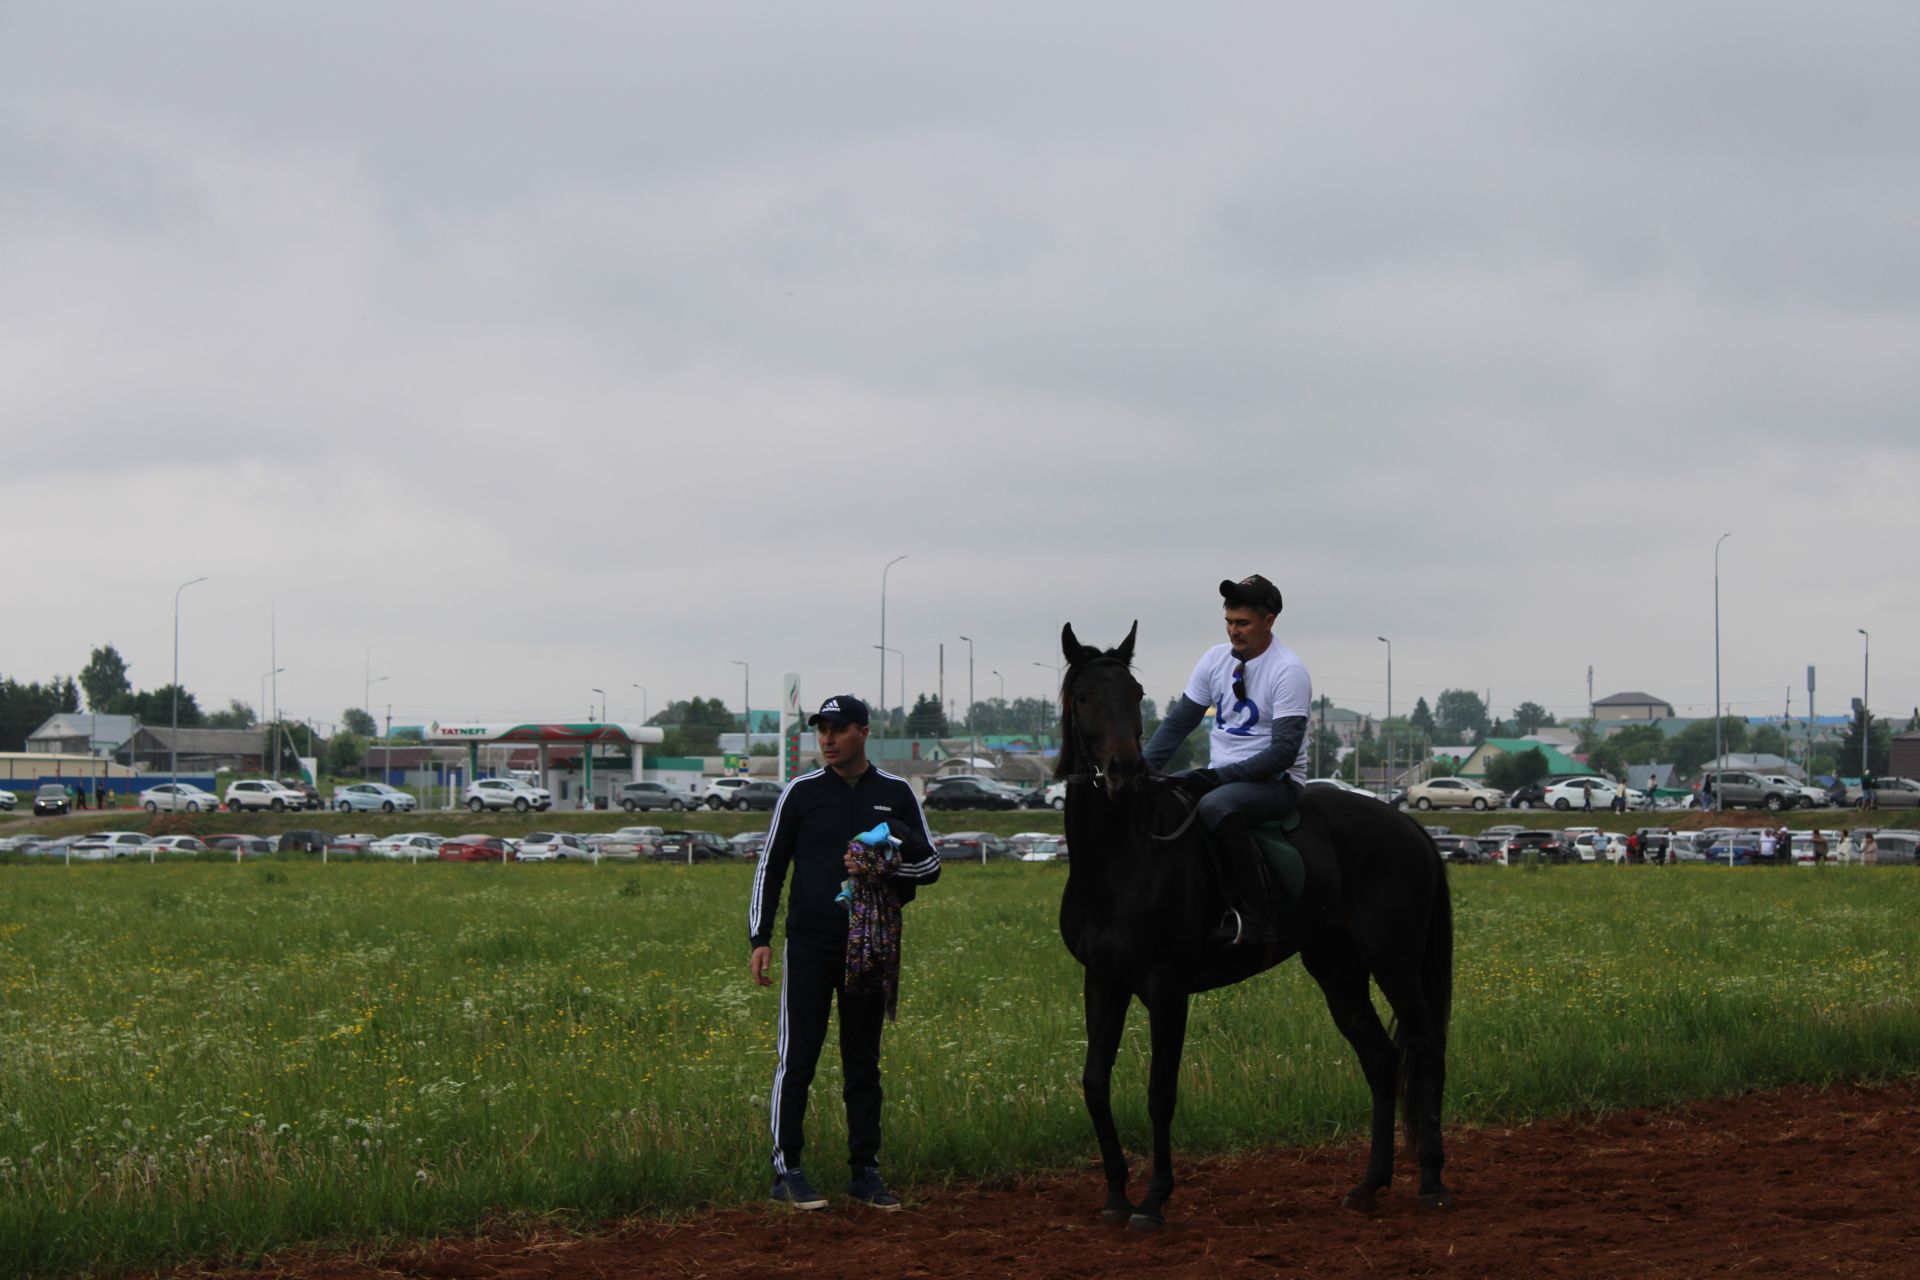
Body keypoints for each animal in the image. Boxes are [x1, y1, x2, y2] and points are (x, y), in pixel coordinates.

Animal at [1059, 621, 1443, 1228]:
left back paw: (1430, 1179)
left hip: (1396, 963)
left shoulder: (1166, 990)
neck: (1122, 857)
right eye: (1082, 696)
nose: (1125, 771)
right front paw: (1116, 1196)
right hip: (1338, 970)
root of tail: (1410, 826)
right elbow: (1095, 1083)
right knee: (1382, 1060)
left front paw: (1154, 1199)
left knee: (1424, 1048)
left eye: (1135, 694)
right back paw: (1369, 1185)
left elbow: (1160, 1093)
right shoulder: (1102, 982)